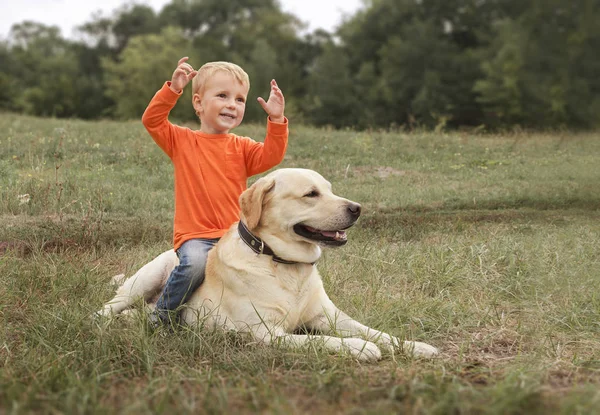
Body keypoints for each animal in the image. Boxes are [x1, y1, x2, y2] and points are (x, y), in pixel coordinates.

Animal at [97, 168, 436, 360]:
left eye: (329, 189)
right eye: (311, 194)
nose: (357, 208)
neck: (285, 265)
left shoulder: (330, 316)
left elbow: (376, 332)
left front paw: (414, 346)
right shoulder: (267, 332)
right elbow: (319, 340)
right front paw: (359, 348)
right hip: (147, 277)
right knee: (108, 308)